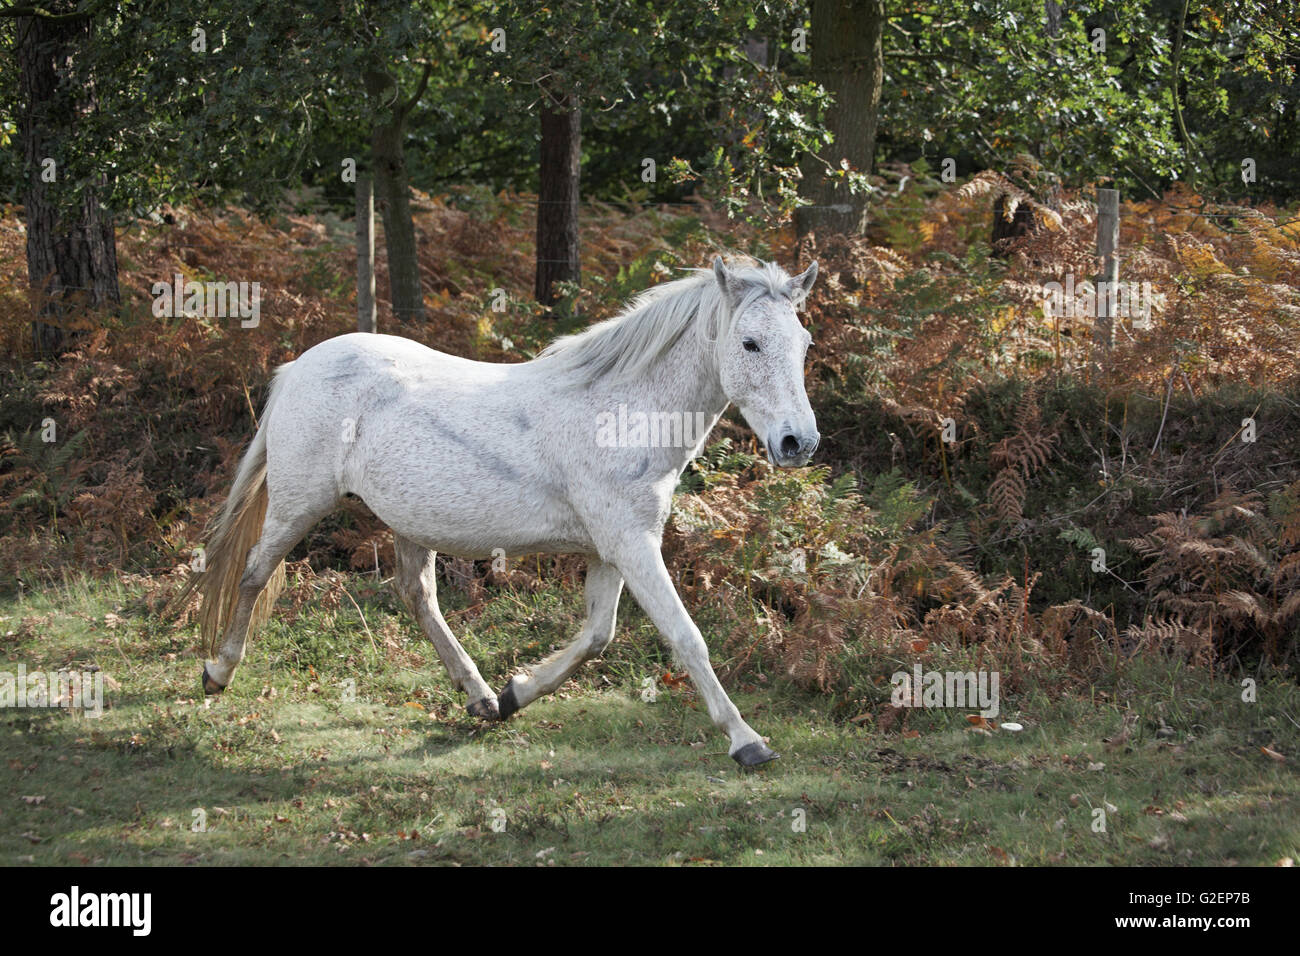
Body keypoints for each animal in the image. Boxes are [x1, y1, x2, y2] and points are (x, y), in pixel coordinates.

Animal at [185, 252, 811, 764]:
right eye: (750, 343)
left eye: (803, 344)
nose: (798, 443)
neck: (620, 411)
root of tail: (298, 369)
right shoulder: (632, 547)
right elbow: (686, 638)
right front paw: (747, 742)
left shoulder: (613, 550)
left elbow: (597, 636)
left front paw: (515, 695)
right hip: (299, 504)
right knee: (253, 573)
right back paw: (217, 671)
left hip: (408, 522)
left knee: (419, 597)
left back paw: (482, 698)